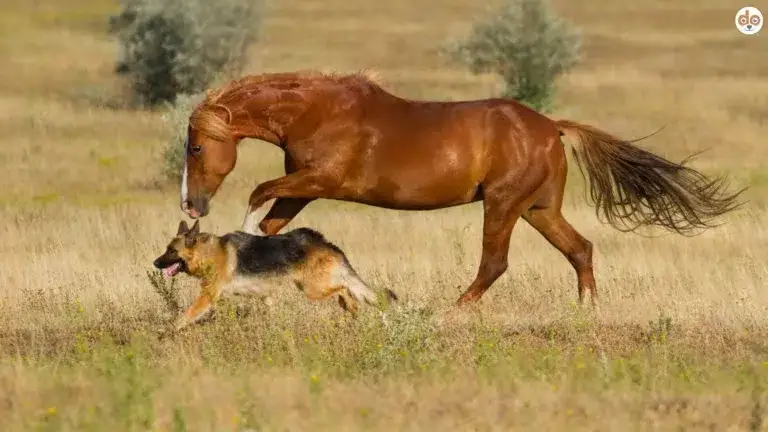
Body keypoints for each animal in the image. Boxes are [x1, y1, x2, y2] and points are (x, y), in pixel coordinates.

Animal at [177, 70, 745, 307]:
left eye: (197, 148)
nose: (191, 204)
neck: (317, 110)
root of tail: (551, 127)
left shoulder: (322, 180)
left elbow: (257, 194)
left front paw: (241, 240)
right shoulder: (304, 187)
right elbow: (274, 217)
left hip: (503, 204)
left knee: (495, 263)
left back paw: (451, 312)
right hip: (538, 209)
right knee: (580, 249)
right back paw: (587, 311)